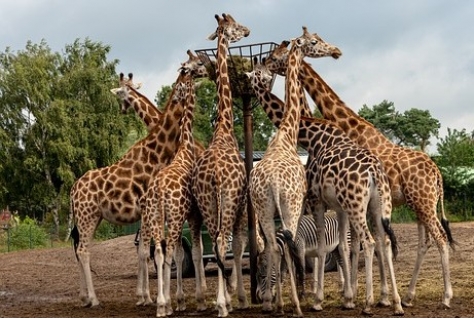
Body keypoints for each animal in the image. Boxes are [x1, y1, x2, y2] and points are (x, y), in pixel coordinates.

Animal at [68, 65, 191, 310]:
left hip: (93, 217)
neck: (157, 153)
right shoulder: (146, 209)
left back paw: (84, 297)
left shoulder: (146, 212)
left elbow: (145, 251)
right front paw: (148, 297)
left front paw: (145, 296)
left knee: (79, 250)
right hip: (86, 217)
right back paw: (93, 299)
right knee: (83, 251)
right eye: (121, 95)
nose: (122, 109)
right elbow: (145, 252)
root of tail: (73, 190)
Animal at [244, 56, 404, 316]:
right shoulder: (337, 206)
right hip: (377, 205)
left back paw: (369, 303)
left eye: (269, 65)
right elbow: (342, 247)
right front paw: (347, 296)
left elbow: (319, 248)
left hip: (356, 205)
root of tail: (375, 173)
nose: (266, 78)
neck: (313, 137)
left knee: (371, 243)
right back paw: (393, 301)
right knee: (384, 241)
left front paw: (318, 298)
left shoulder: (313, 200)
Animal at [290, 32, 458, 310]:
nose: (336, 51)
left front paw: (370, 295)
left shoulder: (363, 202)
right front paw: (378, 296)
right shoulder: (370, 205)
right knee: (425, 242)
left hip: (423, 203)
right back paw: (409, 297)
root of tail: (438, 175)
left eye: (315, 42)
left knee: (440, 239)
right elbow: (373, 243)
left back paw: (445, 297)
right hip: (422, 204)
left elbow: (368, 244)